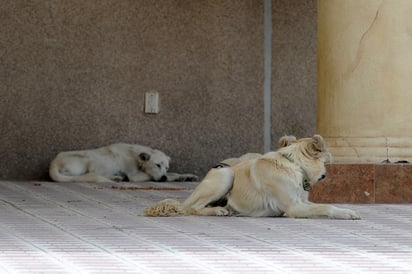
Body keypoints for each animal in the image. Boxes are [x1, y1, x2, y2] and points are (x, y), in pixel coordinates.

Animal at [50, 143, 198, 182]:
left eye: (166, 167)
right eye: (157, 165)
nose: (163, 178)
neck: (137, 157)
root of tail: (53, 163)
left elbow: (175, 173)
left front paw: (187, 176)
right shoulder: (135, 176)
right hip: (88, 159)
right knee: (89, 175)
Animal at [145, 135, 360, 220]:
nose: (326, 173)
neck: (294, 165)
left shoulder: (301, 203)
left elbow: (324, 205)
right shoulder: (294, 207)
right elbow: (326, 207)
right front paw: (347, 213)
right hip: (226, 173)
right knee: (192, 209)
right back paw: (218, 211)